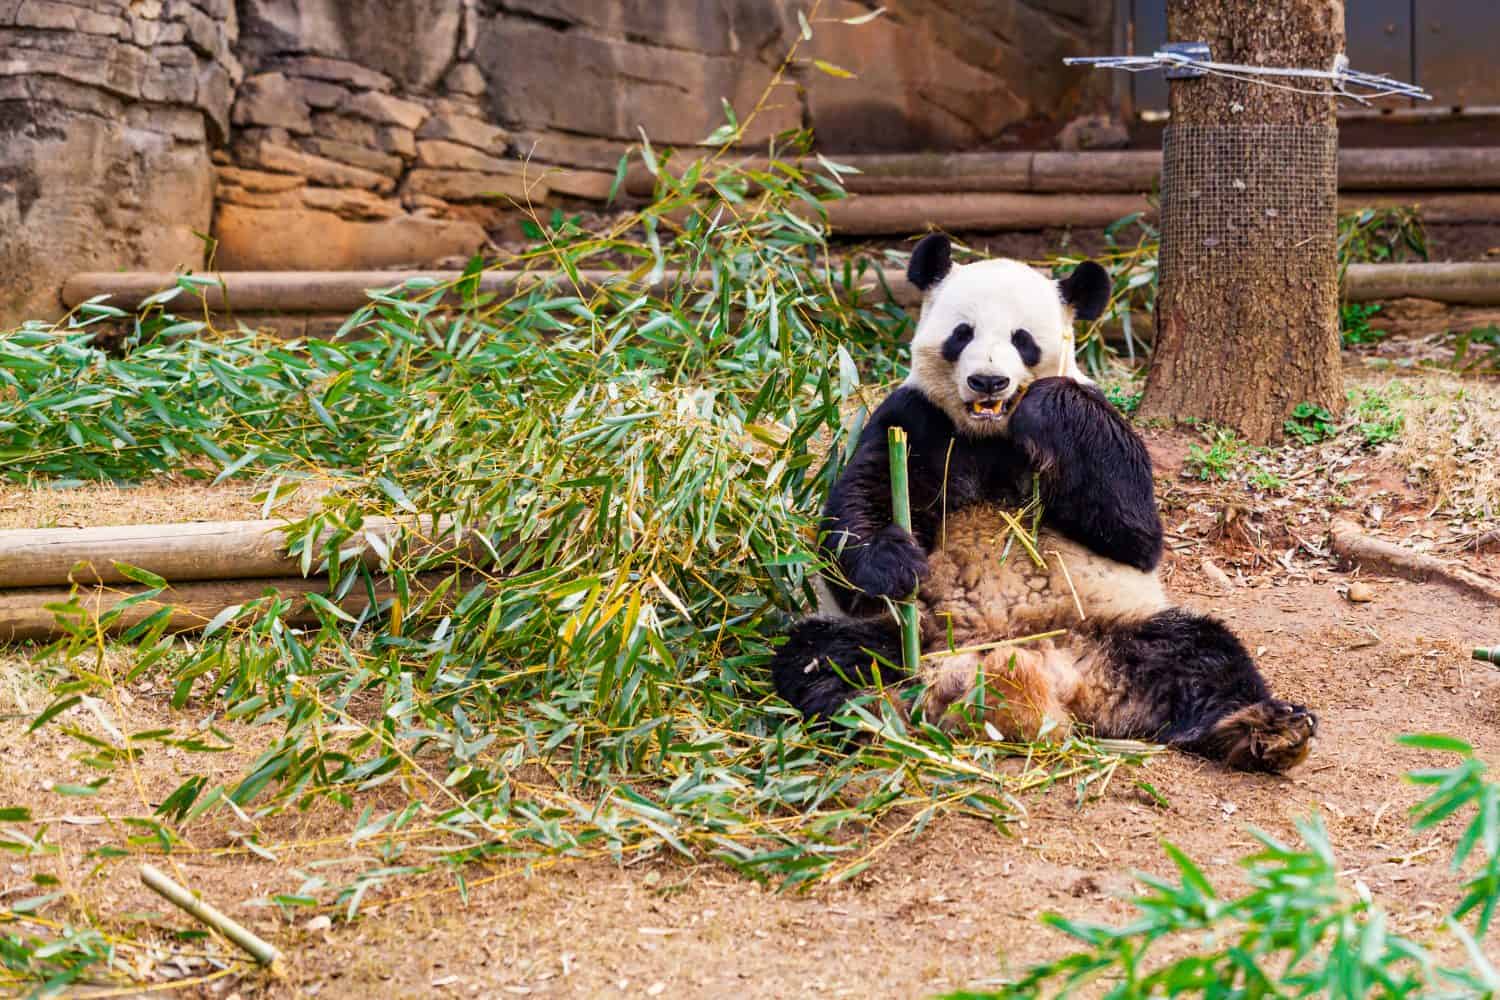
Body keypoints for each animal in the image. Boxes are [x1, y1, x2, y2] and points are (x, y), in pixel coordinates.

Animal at [770, 233, 1318, 774]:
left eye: (1022, 339)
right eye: (962, 333)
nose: (988, 382)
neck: (988, 434)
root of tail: (1044, 674)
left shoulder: (1097, 422)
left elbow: (1136, 528)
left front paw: (1045, 403)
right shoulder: (913, 419)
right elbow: (858, 506)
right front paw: (895, 564)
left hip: (1120, 630)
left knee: (1203, 655)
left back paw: (1267, 729)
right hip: (912, 636)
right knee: (824, 660)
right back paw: (872, 717)